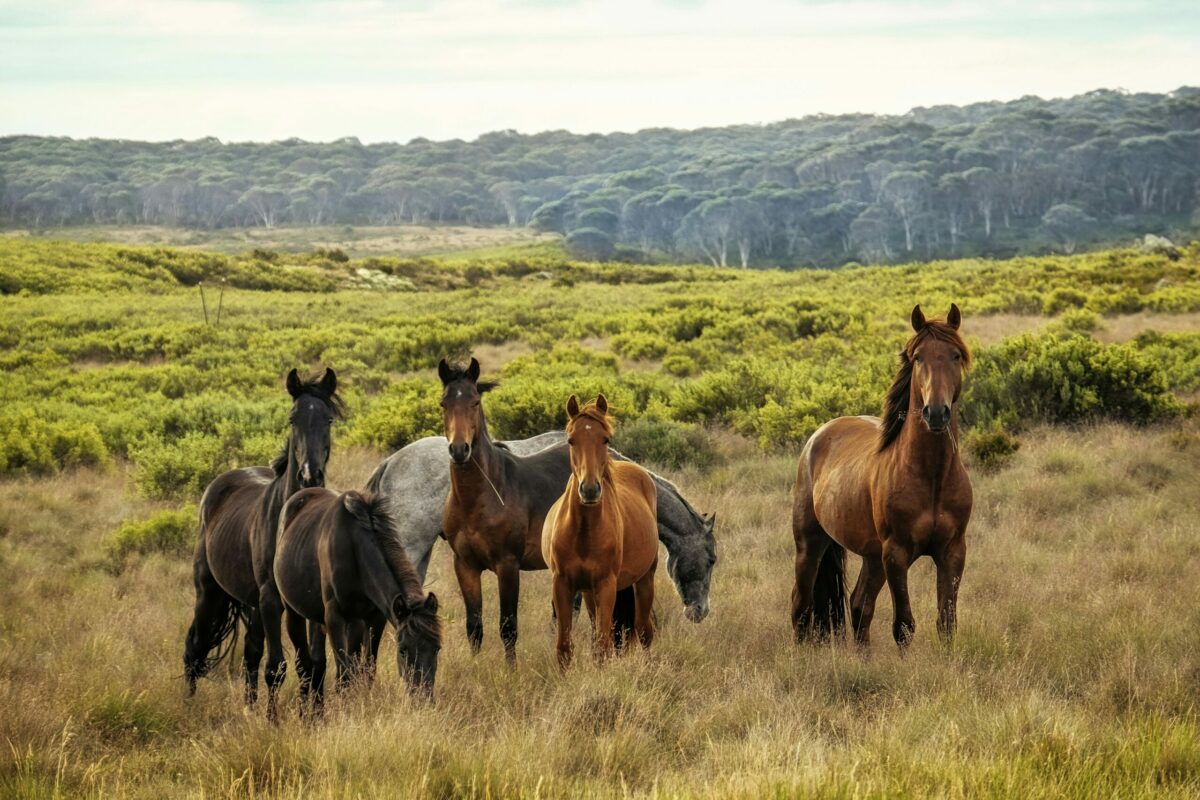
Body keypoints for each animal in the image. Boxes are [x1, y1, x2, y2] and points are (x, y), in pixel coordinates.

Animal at [182, 367, 341, 708]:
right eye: (293, 418)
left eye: (329, 419)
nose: (310, 475)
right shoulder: (271, 600)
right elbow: (277, 667)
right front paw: (275, 718)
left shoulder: (308, 602)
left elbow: (314, 664)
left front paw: (314, 712)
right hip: (209, 593)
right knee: (195, 648)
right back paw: (187, 704)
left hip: (251, 603)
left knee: (250, 653)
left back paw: (250, 707)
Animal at [273, 488, 442, 711]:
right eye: (402, 650)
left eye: (437, 648)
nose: (424, 699)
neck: (354, 549)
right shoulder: (334, 617)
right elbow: (345, 672)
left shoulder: (374, 618)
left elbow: (366, 668)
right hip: (294, 614)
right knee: (304, 665)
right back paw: (305, 713)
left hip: (338, 621)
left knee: (319, 663)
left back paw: (318, 711)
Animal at [542, 395, 658, 668]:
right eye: (571, 440)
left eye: (605, 438)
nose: (590, 490)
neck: (584, 532)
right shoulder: (563, 584)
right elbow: (565, 647)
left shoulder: (606, 586)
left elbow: (603, 646)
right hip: (588, 592)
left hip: (645, 579)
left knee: (644, 630)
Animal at [791, 304, 973, 648]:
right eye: (918, 358)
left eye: (956, 355)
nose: (936, 413)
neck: (931, 476)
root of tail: (819, 435)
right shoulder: (896, 555)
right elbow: (904, 625)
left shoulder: (952, 552)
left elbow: (947, 623)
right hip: (810, 544)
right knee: (801, 606)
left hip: (872, 556)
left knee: (859, 605)